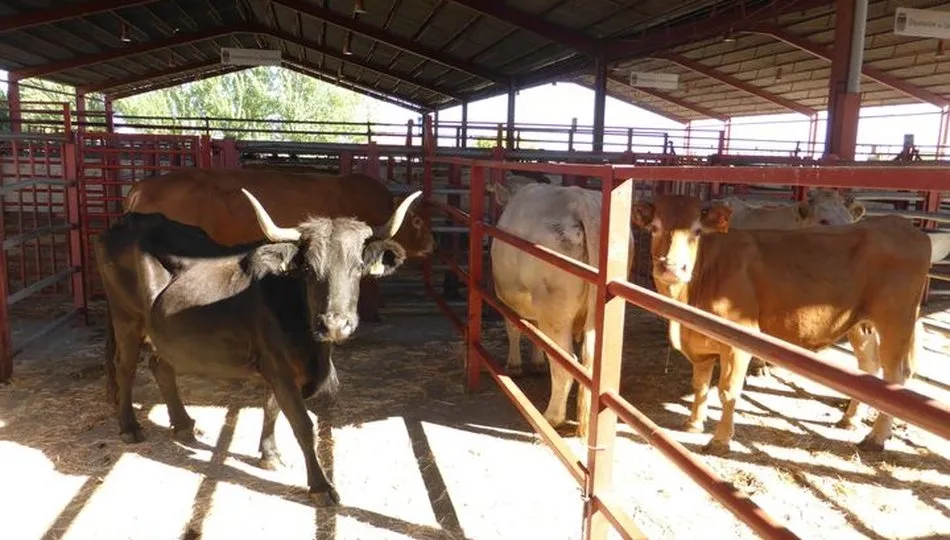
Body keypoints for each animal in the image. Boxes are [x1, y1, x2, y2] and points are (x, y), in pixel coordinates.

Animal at [96, 188, 422, 506]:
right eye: (308, 269)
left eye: (358, 267)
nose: (334, 325)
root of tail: (129, 221)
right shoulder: (279, 368)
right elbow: (302, 424)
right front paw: (320, 486)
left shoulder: (275, 367)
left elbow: (271, 407)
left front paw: (269, 454)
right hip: (126, 319)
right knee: (124, 367)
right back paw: (130, 427)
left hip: (165, 333)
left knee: (161, 366)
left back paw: (184, 425)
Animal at [490, 183, 634, 437]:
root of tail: (581, 200)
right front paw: (537, 363)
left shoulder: (506, 296)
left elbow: (514, 329)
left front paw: (515, 365)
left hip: (553, 307)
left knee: (564, 361)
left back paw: (552, 417)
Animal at [631, 194, 929, 455]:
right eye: (654, 228)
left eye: (696, 231)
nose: (671, 267)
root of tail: (901, 224)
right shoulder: (697, 343)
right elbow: (700, 384)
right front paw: (694, 423)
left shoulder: (739, 341)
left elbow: (727, 392)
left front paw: (720, 440)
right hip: (859, 324)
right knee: (869, 366)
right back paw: (850, 420)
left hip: (897, 321)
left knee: (895, 376)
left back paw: (876, 438)